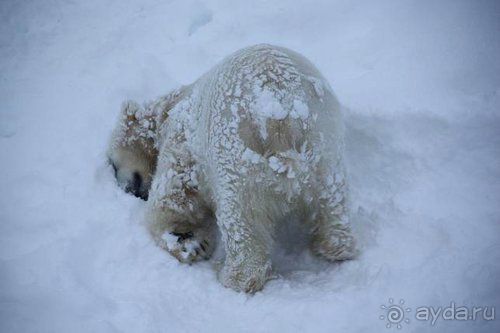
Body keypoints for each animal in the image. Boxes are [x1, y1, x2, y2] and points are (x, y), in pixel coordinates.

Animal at [107, 44, 358, 290]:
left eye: (112, 163)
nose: (129, 189)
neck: (170, 106)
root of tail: (279, 113)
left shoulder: (183, 139)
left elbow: (173, 193)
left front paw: (188, 241)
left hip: (234, 150)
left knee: (239, 210)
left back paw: (234, 276)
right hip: (323, 140)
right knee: (331, 193)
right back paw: (336, 246)